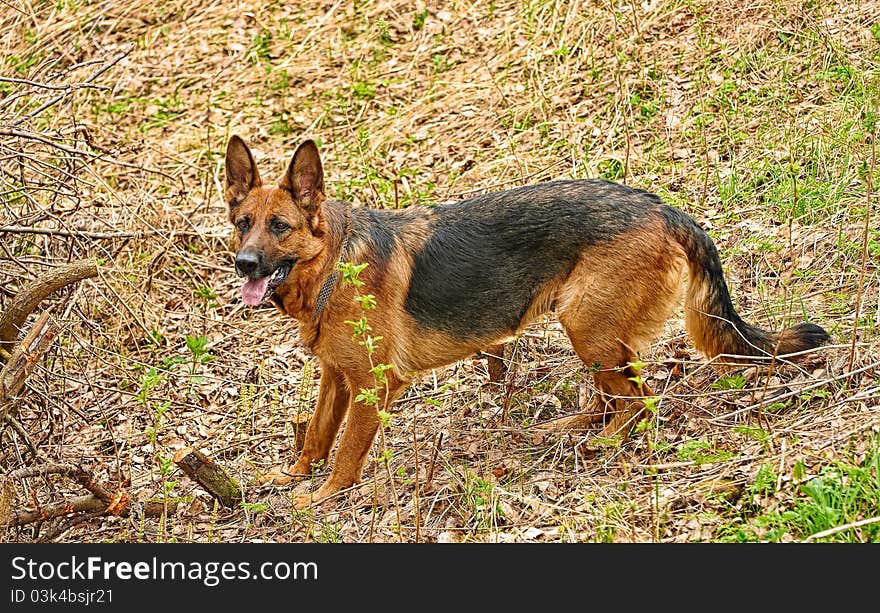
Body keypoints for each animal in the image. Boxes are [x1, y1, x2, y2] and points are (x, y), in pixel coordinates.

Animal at [223, 135, 828, 506]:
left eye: (280, 227)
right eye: (243, 223)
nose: (244, 264)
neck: (331, 264)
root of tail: (665, 208)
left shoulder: (374, 387)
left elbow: (347, 452)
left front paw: (323, 498)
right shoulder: (335, 377)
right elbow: (317, 434)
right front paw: (294, 476)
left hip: (587, 325)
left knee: (639, 401)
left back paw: (603, 444)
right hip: (592, 329)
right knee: (618, 392)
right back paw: (574, 427)